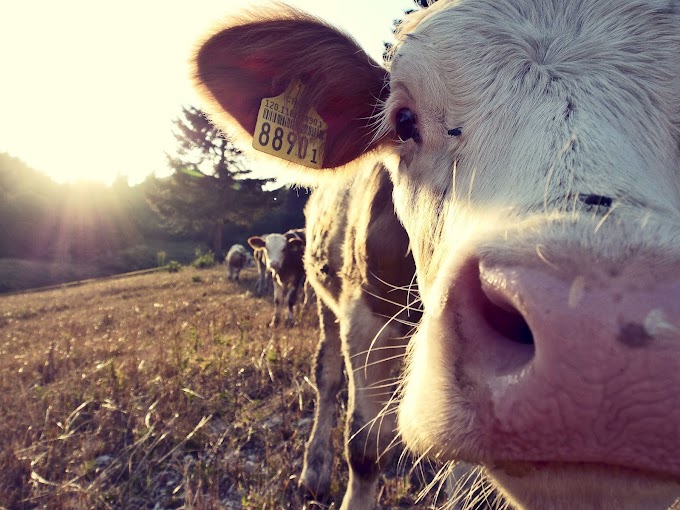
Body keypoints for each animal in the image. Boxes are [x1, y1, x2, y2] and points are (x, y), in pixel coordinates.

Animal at [194, 2, 680, 510]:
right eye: (404, 122)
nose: (590, 344)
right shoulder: (363, 317)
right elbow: (364, 446)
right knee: (326, 377)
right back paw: (314, 469)